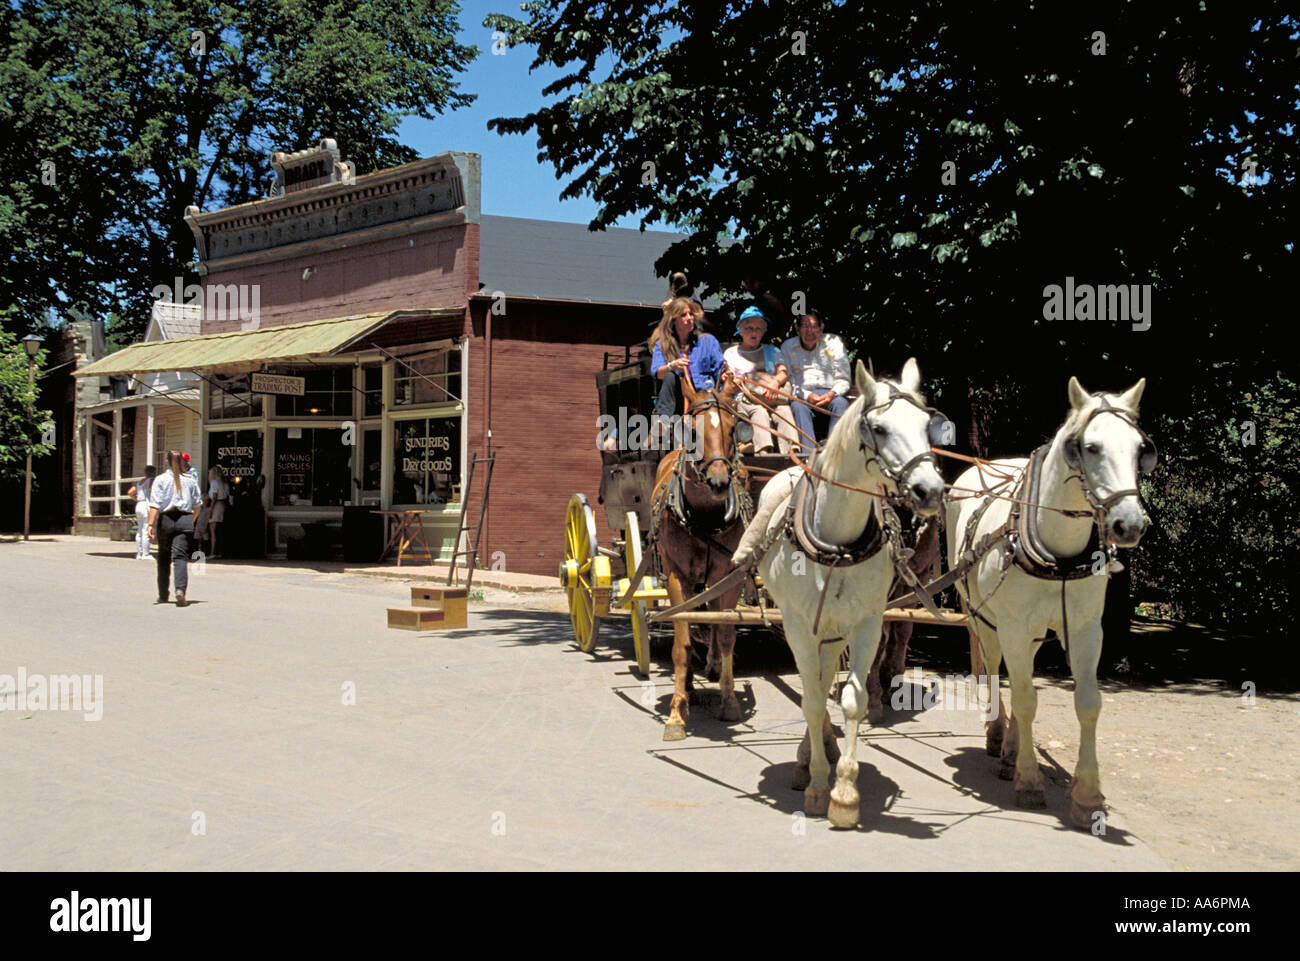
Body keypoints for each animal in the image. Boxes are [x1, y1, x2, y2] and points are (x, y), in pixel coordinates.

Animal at [655, 371, 748, 738]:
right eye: (692, 432)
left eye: (733, 429)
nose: (719, 481)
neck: (706, 518)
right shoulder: (677, 576)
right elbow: (681, 643)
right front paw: (676, 714)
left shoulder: (730, 578)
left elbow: (725, 636)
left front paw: (729, 702)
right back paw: (690, 688)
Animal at [733, 361, 946, 827]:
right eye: (880, 428)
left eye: (926, 425)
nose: (930, 490)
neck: (838, 541)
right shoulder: (798, 627)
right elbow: (812, 701)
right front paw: (816, 784)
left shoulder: (866, 624)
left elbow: (852, 700)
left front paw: (845, 791)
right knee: (813, 687)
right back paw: (807, 759)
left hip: (833, 631)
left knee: (826, 675)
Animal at [951, 377, 1154, 827]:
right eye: (1090, 447)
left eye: (1139, 448)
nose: (1129, 525)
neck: (1057, 551)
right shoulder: (1011, 625)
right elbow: (1027, 700)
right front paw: (1029, 781)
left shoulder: (1086, 630)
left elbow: (1089, 703)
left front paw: (1088, 795)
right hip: (985, 618)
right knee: (996, 671)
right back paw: (998, 736)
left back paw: (1010, 749)